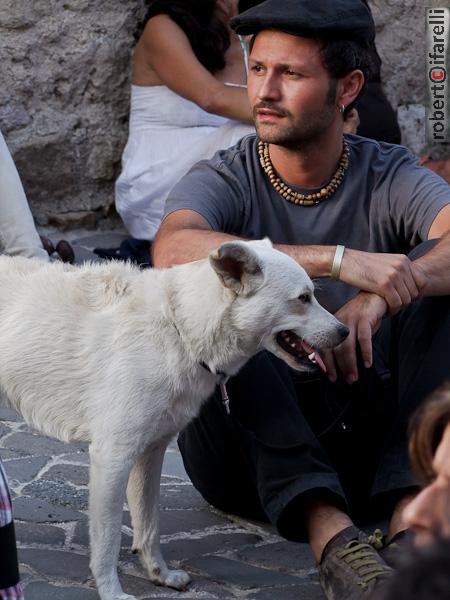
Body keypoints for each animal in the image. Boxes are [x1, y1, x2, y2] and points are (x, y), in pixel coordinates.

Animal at [0, 239, 346, 600]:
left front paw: (159, 574)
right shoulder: (112, 457)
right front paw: (112, 592)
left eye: (312, 295)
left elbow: (149, 525)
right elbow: (108, 539)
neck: (180, 328)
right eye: (303, 298)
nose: (346, 331)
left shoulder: (150, 454)